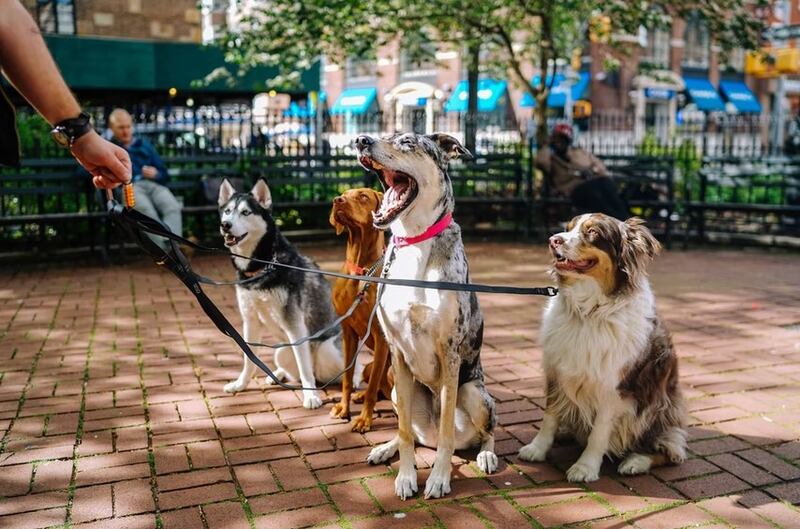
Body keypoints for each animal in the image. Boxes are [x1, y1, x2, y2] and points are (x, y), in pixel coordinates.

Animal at [217, 178, 346, 408]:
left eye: (246, 212)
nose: (226, 225)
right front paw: (240, 384)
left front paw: (311, 396)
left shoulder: (295, 324)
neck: (262, 266)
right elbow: (248, 358)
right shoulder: (250, 320)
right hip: (281, 351)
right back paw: (277, 374)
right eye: (227, 211)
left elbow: (304, 367)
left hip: (327, 350)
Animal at [330, 188, 392, 432]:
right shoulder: (348, 332)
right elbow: (347, 378)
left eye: (363, 196)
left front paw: (365, 419)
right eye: (343, 194)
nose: (337, 201)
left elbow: (373, 388)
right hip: (368, 365)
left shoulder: (381, 337)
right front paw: (343, 408)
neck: (361, 272)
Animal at [354, 133, 494, 500]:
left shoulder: (450, 353)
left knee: (484, 432)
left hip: (475, 394)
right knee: (413, 435)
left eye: (406, 141)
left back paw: (487, 455)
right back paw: (384, 448)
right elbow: (404, 433)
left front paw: (439, 479)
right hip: (394, 390)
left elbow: (446, 434)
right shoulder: (398, 353)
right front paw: (405, 477)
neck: (415, 241)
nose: (361, 140)